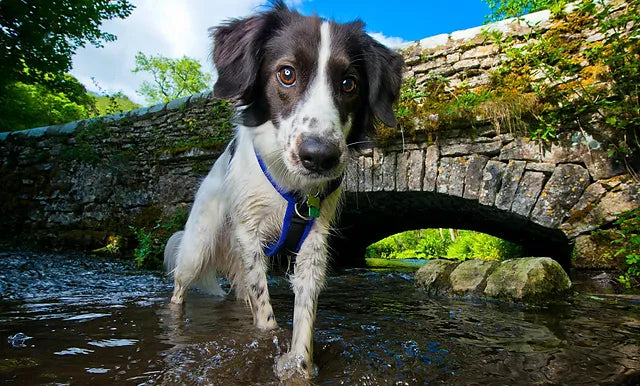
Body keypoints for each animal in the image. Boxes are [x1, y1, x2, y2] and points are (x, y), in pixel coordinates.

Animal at [165, 0, 402, 380]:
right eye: (286, 74)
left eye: (349, 83)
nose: (319, 156)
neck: (292, 190)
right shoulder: (249, 236)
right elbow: (264, 311)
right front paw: (269, 342)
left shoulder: (313, 243)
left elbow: (303, 317)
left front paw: (298, 368)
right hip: (197, 247)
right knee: (180, 288)